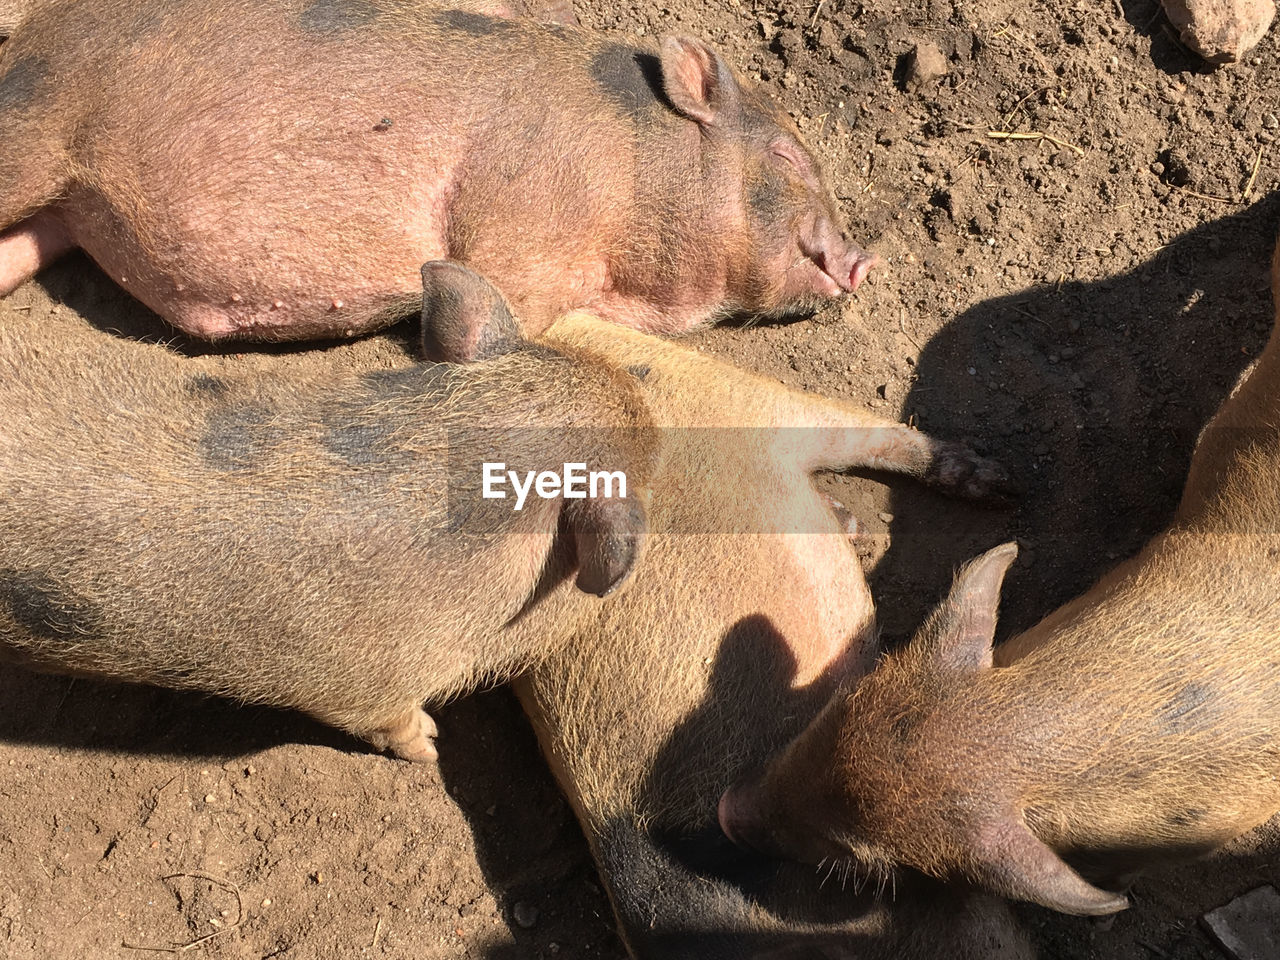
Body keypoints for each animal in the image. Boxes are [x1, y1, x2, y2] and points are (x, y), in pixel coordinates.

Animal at [0, 0, 875, 358]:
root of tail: (37, 24)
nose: (863, 255)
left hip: (61, 217)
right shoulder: (519, 226)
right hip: (36, 123)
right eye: (787, 156)